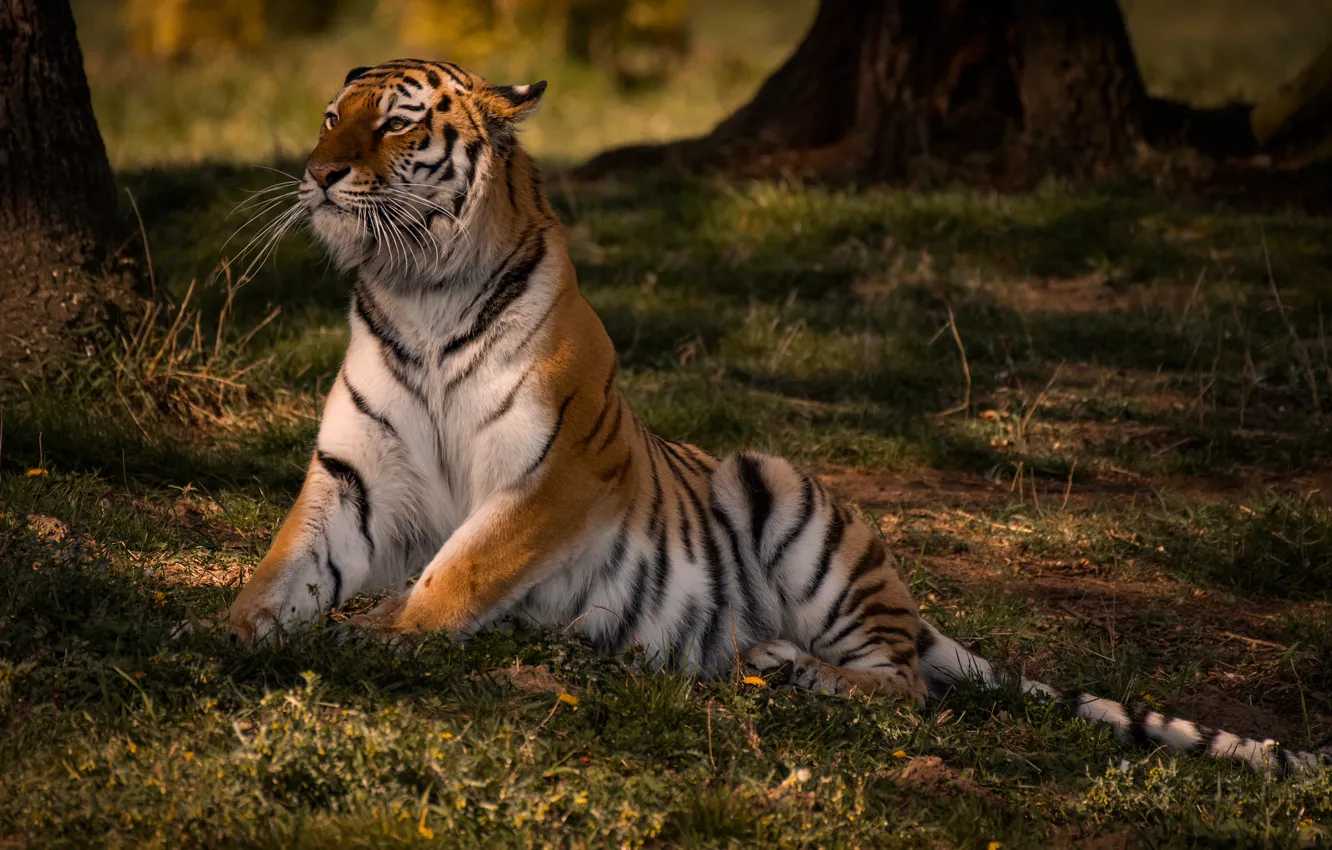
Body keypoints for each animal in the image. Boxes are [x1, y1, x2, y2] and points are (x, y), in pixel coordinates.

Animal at [226, 58, 1331, 774]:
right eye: (328, 115)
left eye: (397, 124)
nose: (317, 175)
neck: (420, 286)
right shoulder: (354, 472)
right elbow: (287, 561)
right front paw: (229, 632)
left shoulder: (555, 472)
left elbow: (461, 568)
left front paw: (382, 633)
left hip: (782, 488)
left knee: (906, 684)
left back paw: (786, 666)